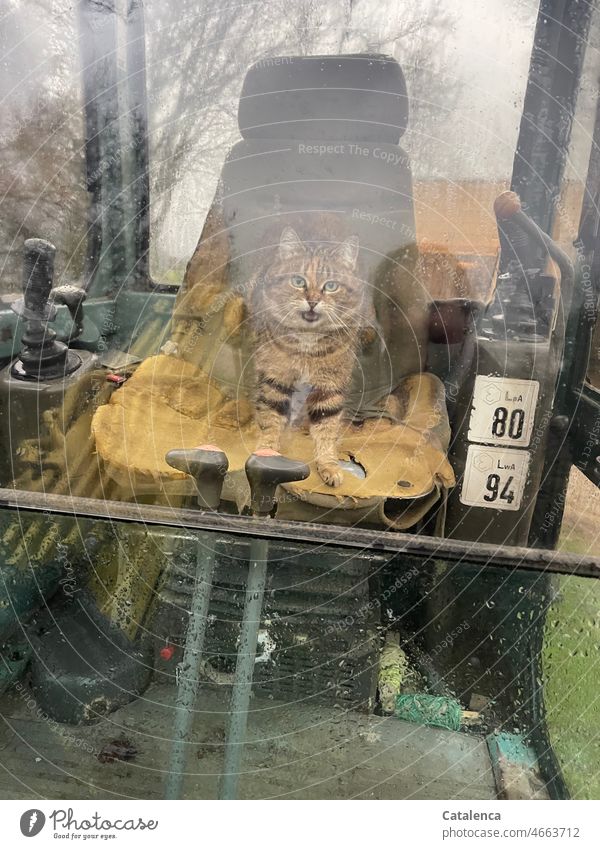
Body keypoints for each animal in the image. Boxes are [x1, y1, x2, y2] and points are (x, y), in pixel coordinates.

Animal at [248, 229, 366, 486]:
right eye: (298, 281)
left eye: (331, 286)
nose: (312, 301)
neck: (307, 340)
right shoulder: (275, 379)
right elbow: (271, 420)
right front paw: (267, 452)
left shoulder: (329, 387)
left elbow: (326, 430)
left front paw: (329, 466)